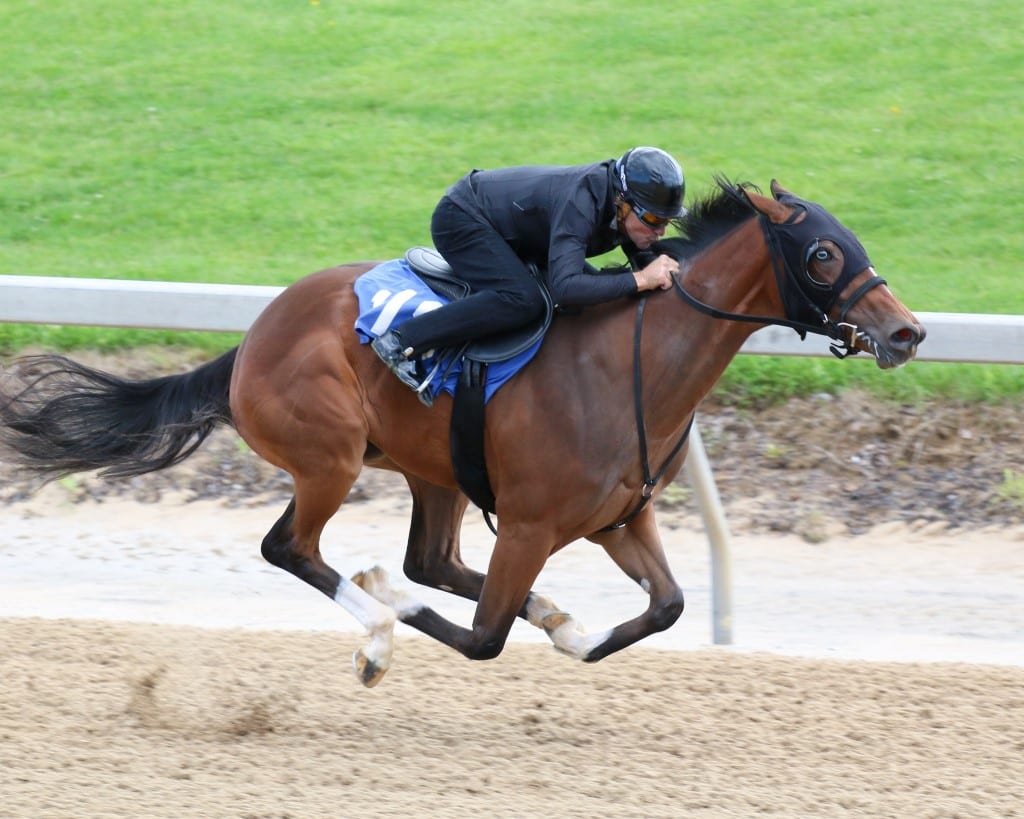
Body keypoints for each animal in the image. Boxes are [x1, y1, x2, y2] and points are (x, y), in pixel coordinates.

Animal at [0, 179, 929, 683]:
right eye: (822, 255)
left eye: (853, 242)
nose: (908, 330)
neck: (630, 362)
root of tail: (251, 339)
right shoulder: (529, 523)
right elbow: (484, 636)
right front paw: (399, 611)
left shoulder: (618, 518)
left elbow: (665, 606)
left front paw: (572, 628)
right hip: (330, 458)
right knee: (294, 548)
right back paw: (377, 625)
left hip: (433, 468)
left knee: (431, 557)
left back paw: (513, 606)